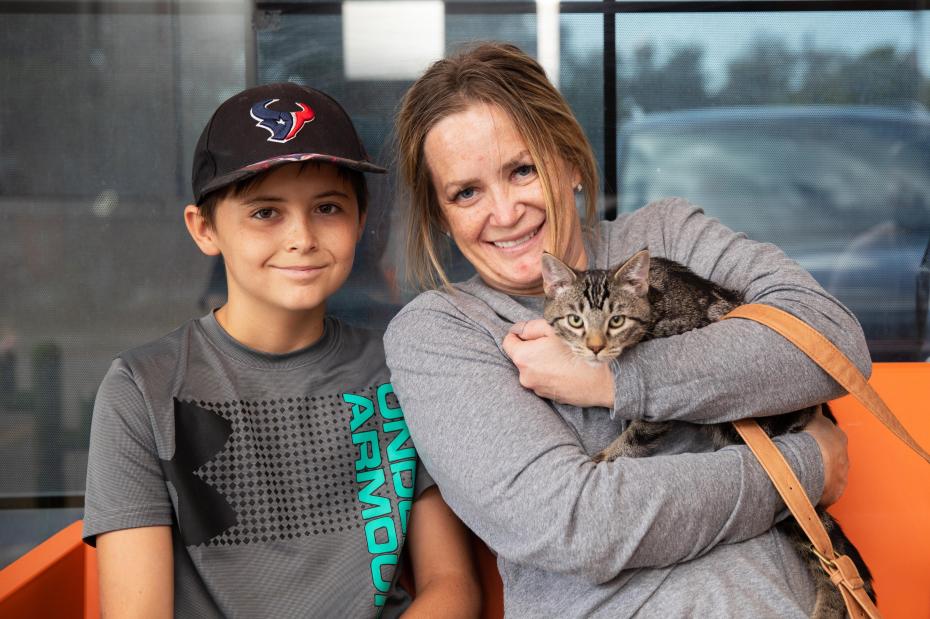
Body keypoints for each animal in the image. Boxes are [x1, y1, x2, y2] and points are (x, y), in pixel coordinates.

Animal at [540, 249, 872, 616]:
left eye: (616, 321)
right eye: (576, 321)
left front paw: (602, 459)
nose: (596, 347)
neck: (654, 306)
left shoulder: (660, 403)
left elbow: (635, 436)